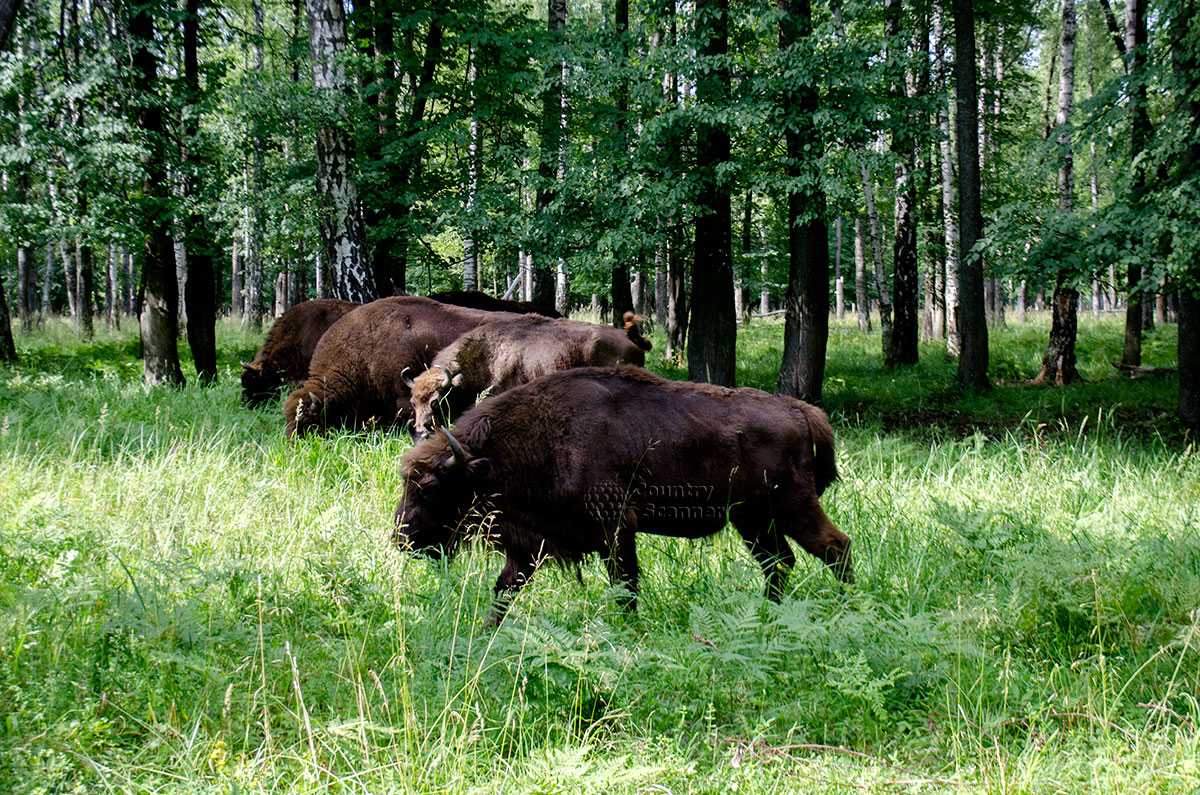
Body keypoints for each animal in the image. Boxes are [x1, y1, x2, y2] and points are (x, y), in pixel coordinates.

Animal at [396, 369, 854, 629]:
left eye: (432, 486)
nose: (402, 538)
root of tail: (800, 411)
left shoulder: (615, 530)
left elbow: (625, 584)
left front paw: (628, 629)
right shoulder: (531, 543)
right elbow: (504, 589)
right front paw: (487, 631)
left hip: (793, 508)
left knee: (835, 547)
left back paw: (848, 608)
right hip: (753, 520)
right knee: (780, 562)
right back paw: (768, 614)